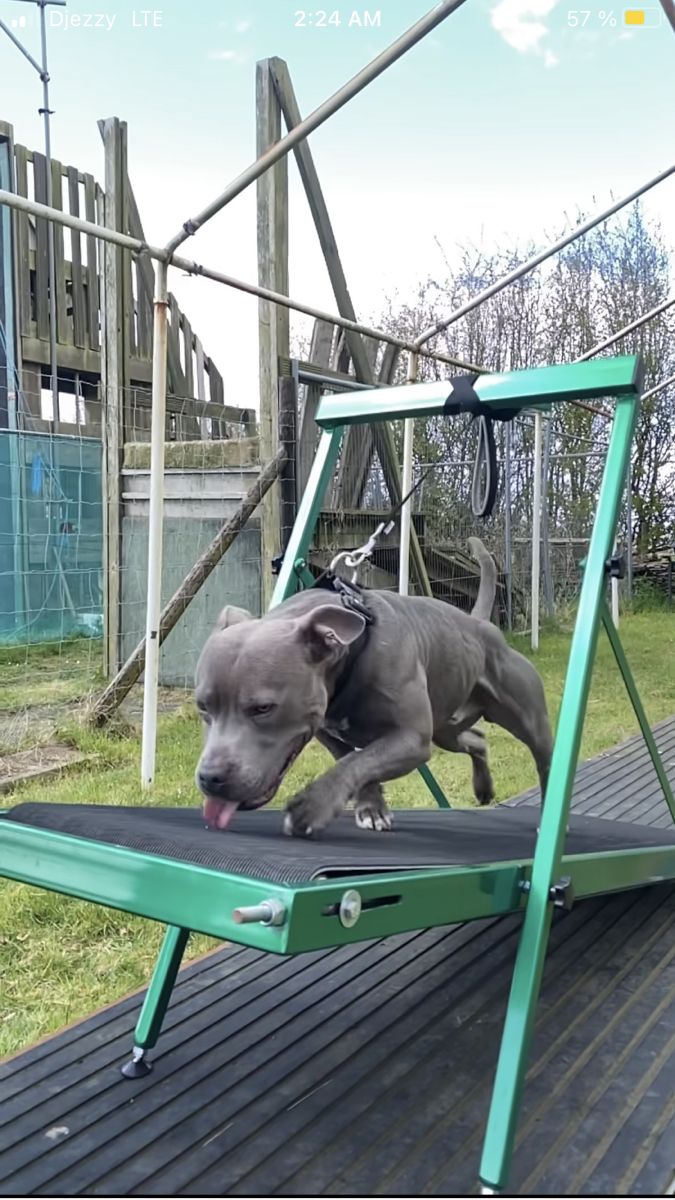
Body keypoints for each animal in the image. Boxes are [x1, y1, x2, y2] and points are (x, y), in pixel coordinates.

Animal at [192, 540, 550, 840]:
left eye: (263, 708)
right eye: (203, 707)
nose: (210, 778)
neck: (351, 657)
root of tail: (480, 624)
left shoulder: (410, 739)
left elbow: (357, 762)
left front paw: (312, 806)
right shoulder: (328, 731)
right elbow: (355, 762)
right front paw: (372, 809)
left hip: (526, 721)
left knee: (544, 759)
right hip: (446, 729)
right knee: (477, 739)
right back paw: (483, 787)